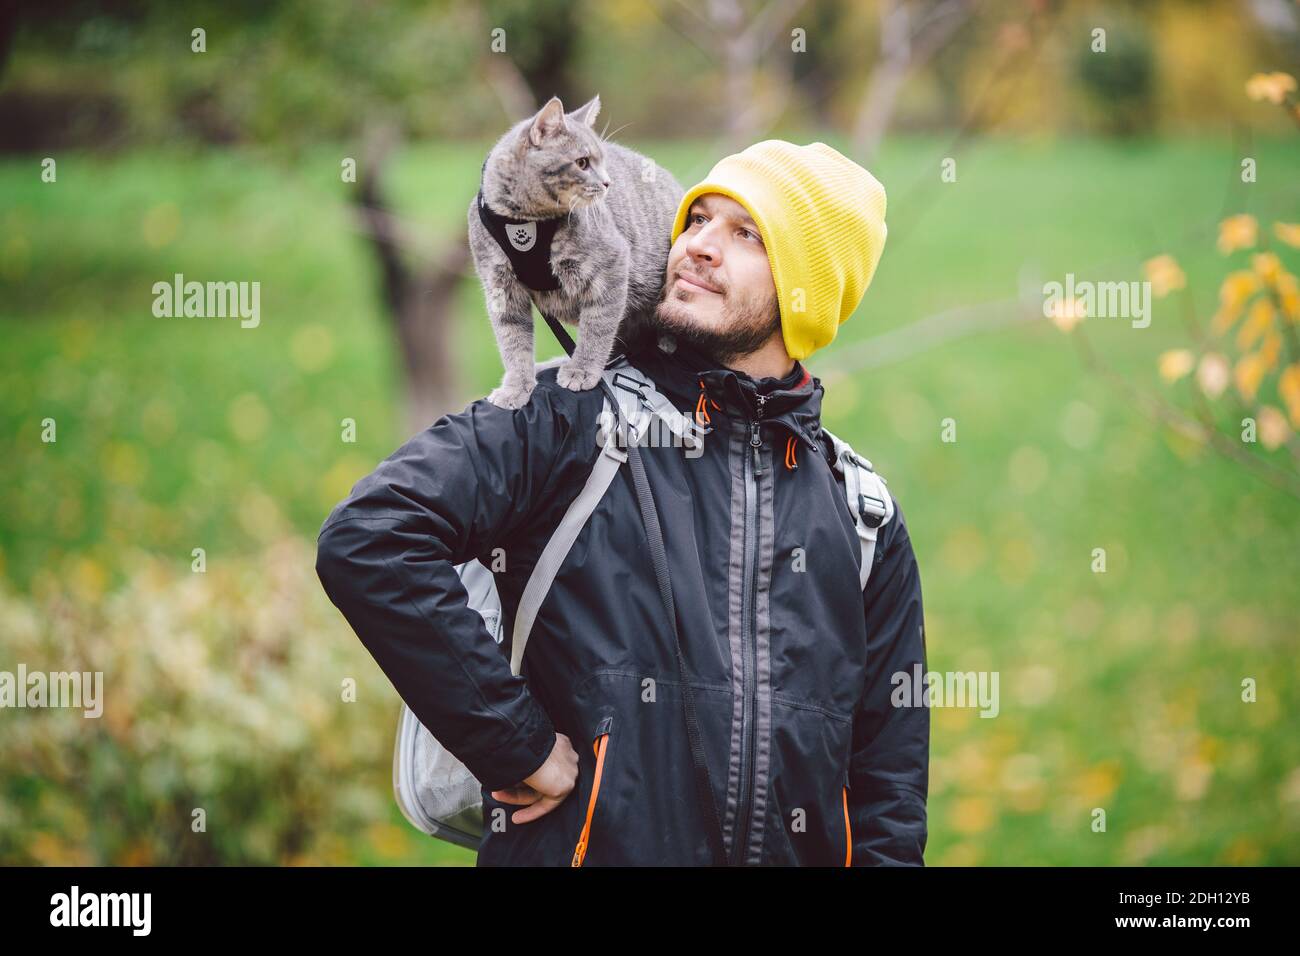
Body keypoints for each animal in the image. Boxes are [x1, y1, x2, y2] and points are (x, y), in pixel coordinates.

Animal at [470, 95, 691, 408]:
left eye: (602, 161)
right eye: (582, 162)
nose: (608, 182)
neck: (526, 223)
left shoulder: (612, 265)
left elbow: (597, 328)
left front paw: (583, 369)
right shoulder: (501, 288)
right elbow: (513, 342)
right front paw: (516, 386)